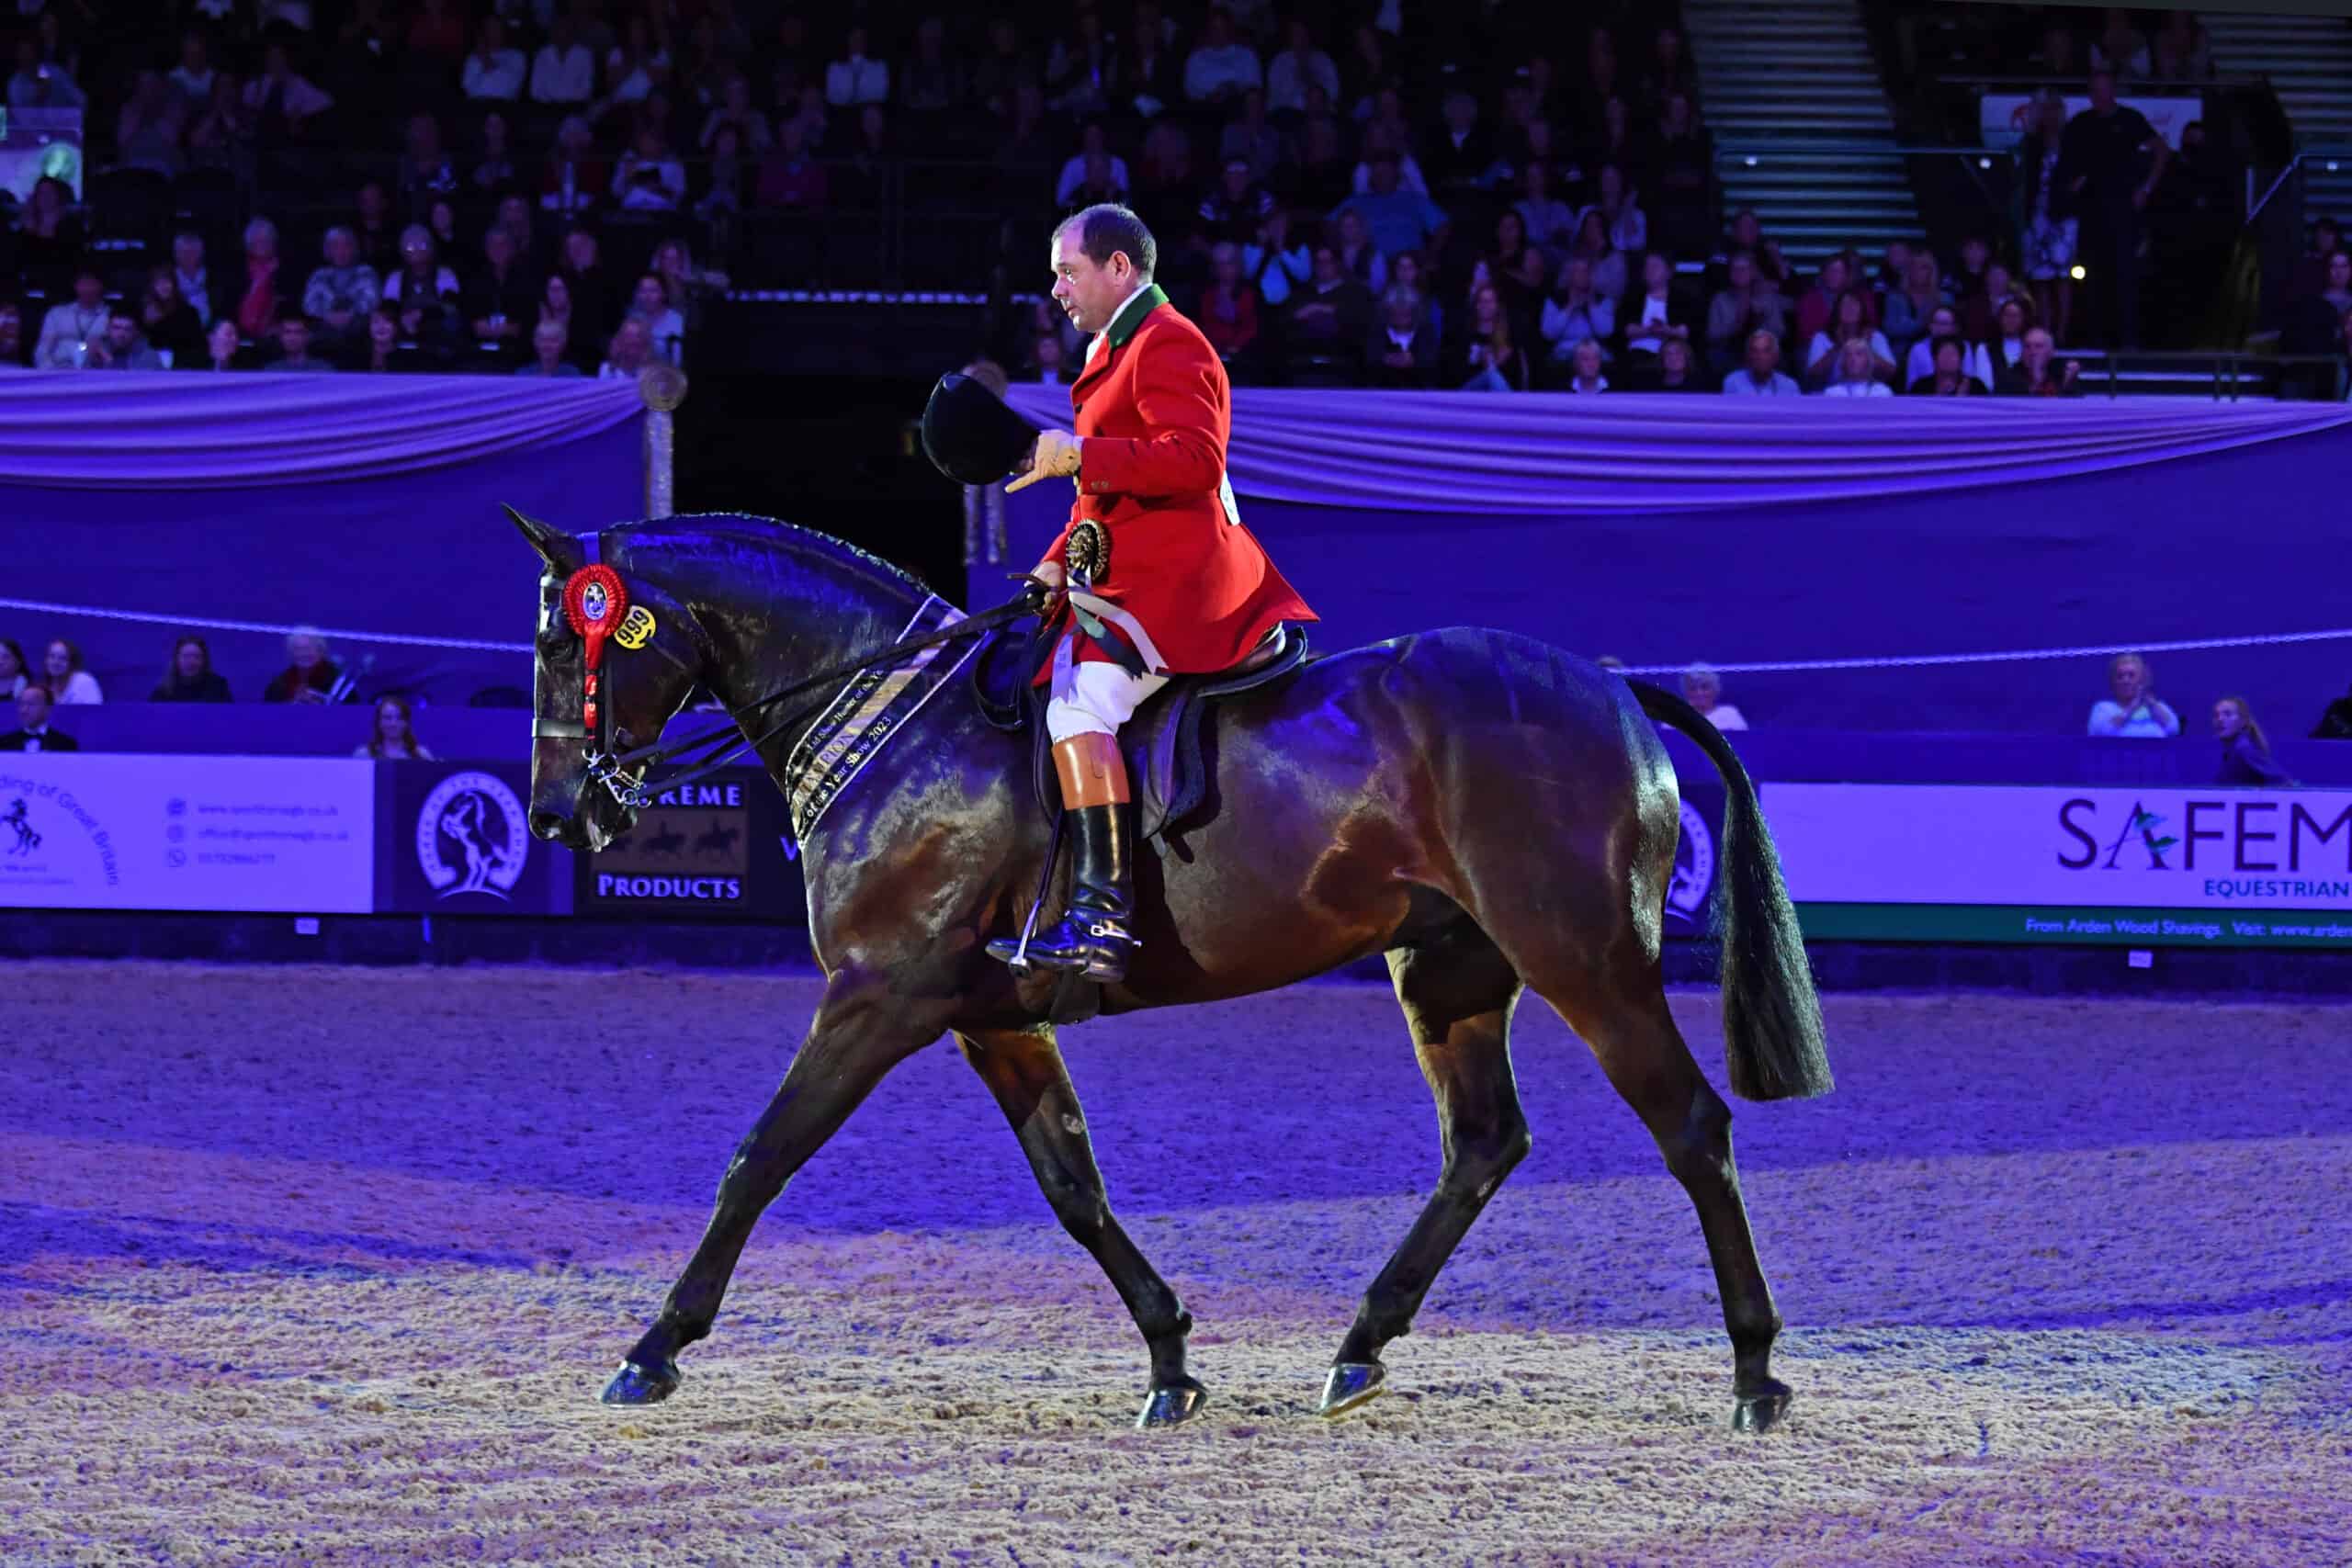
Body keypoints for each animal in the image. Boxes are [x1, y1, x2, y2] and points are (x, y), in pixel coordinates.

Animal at [514, 512, 1834, 1438]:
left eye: (565, 641)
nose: (559, 814)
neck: (896, 722)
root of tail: (1610, 684)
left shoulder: (878, 998)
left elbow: (760, 1157)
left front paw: (652, 1347)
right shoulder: (995, 1021)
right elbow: (1074, 1188)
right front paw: (1170, 1358)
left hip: (1584, 959)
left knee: (1689, 1125)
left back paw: (1755, 1369)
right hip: (1449, 968)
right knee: (1483, 1142)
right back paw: (1359, 1343)